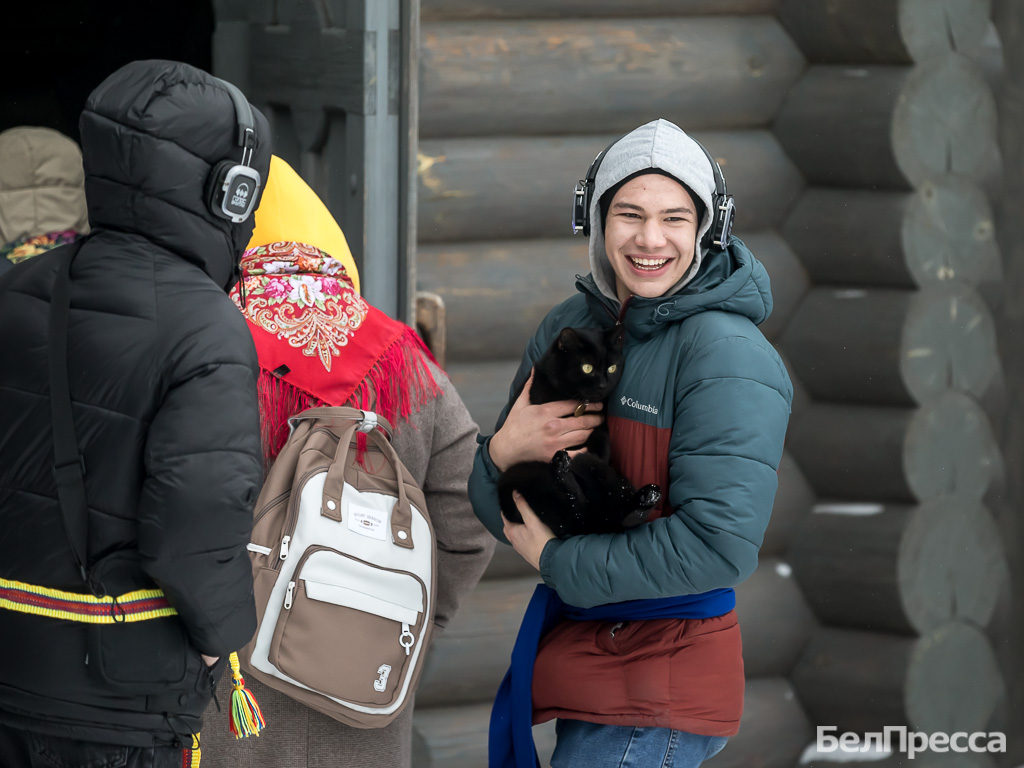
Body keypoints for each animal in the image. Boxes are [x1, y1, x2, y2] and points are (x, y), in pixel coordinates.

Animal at [497, 327, 659, 536]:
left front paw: (596, 455)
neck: (579, 403)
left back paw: (645, 498)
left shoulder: (600, 424)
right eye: (587, 368)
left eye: (612, 368)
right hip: (524, 473)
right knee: (576, 513)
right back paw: (563, 467)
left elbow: (602, 441)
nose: (603, 384)